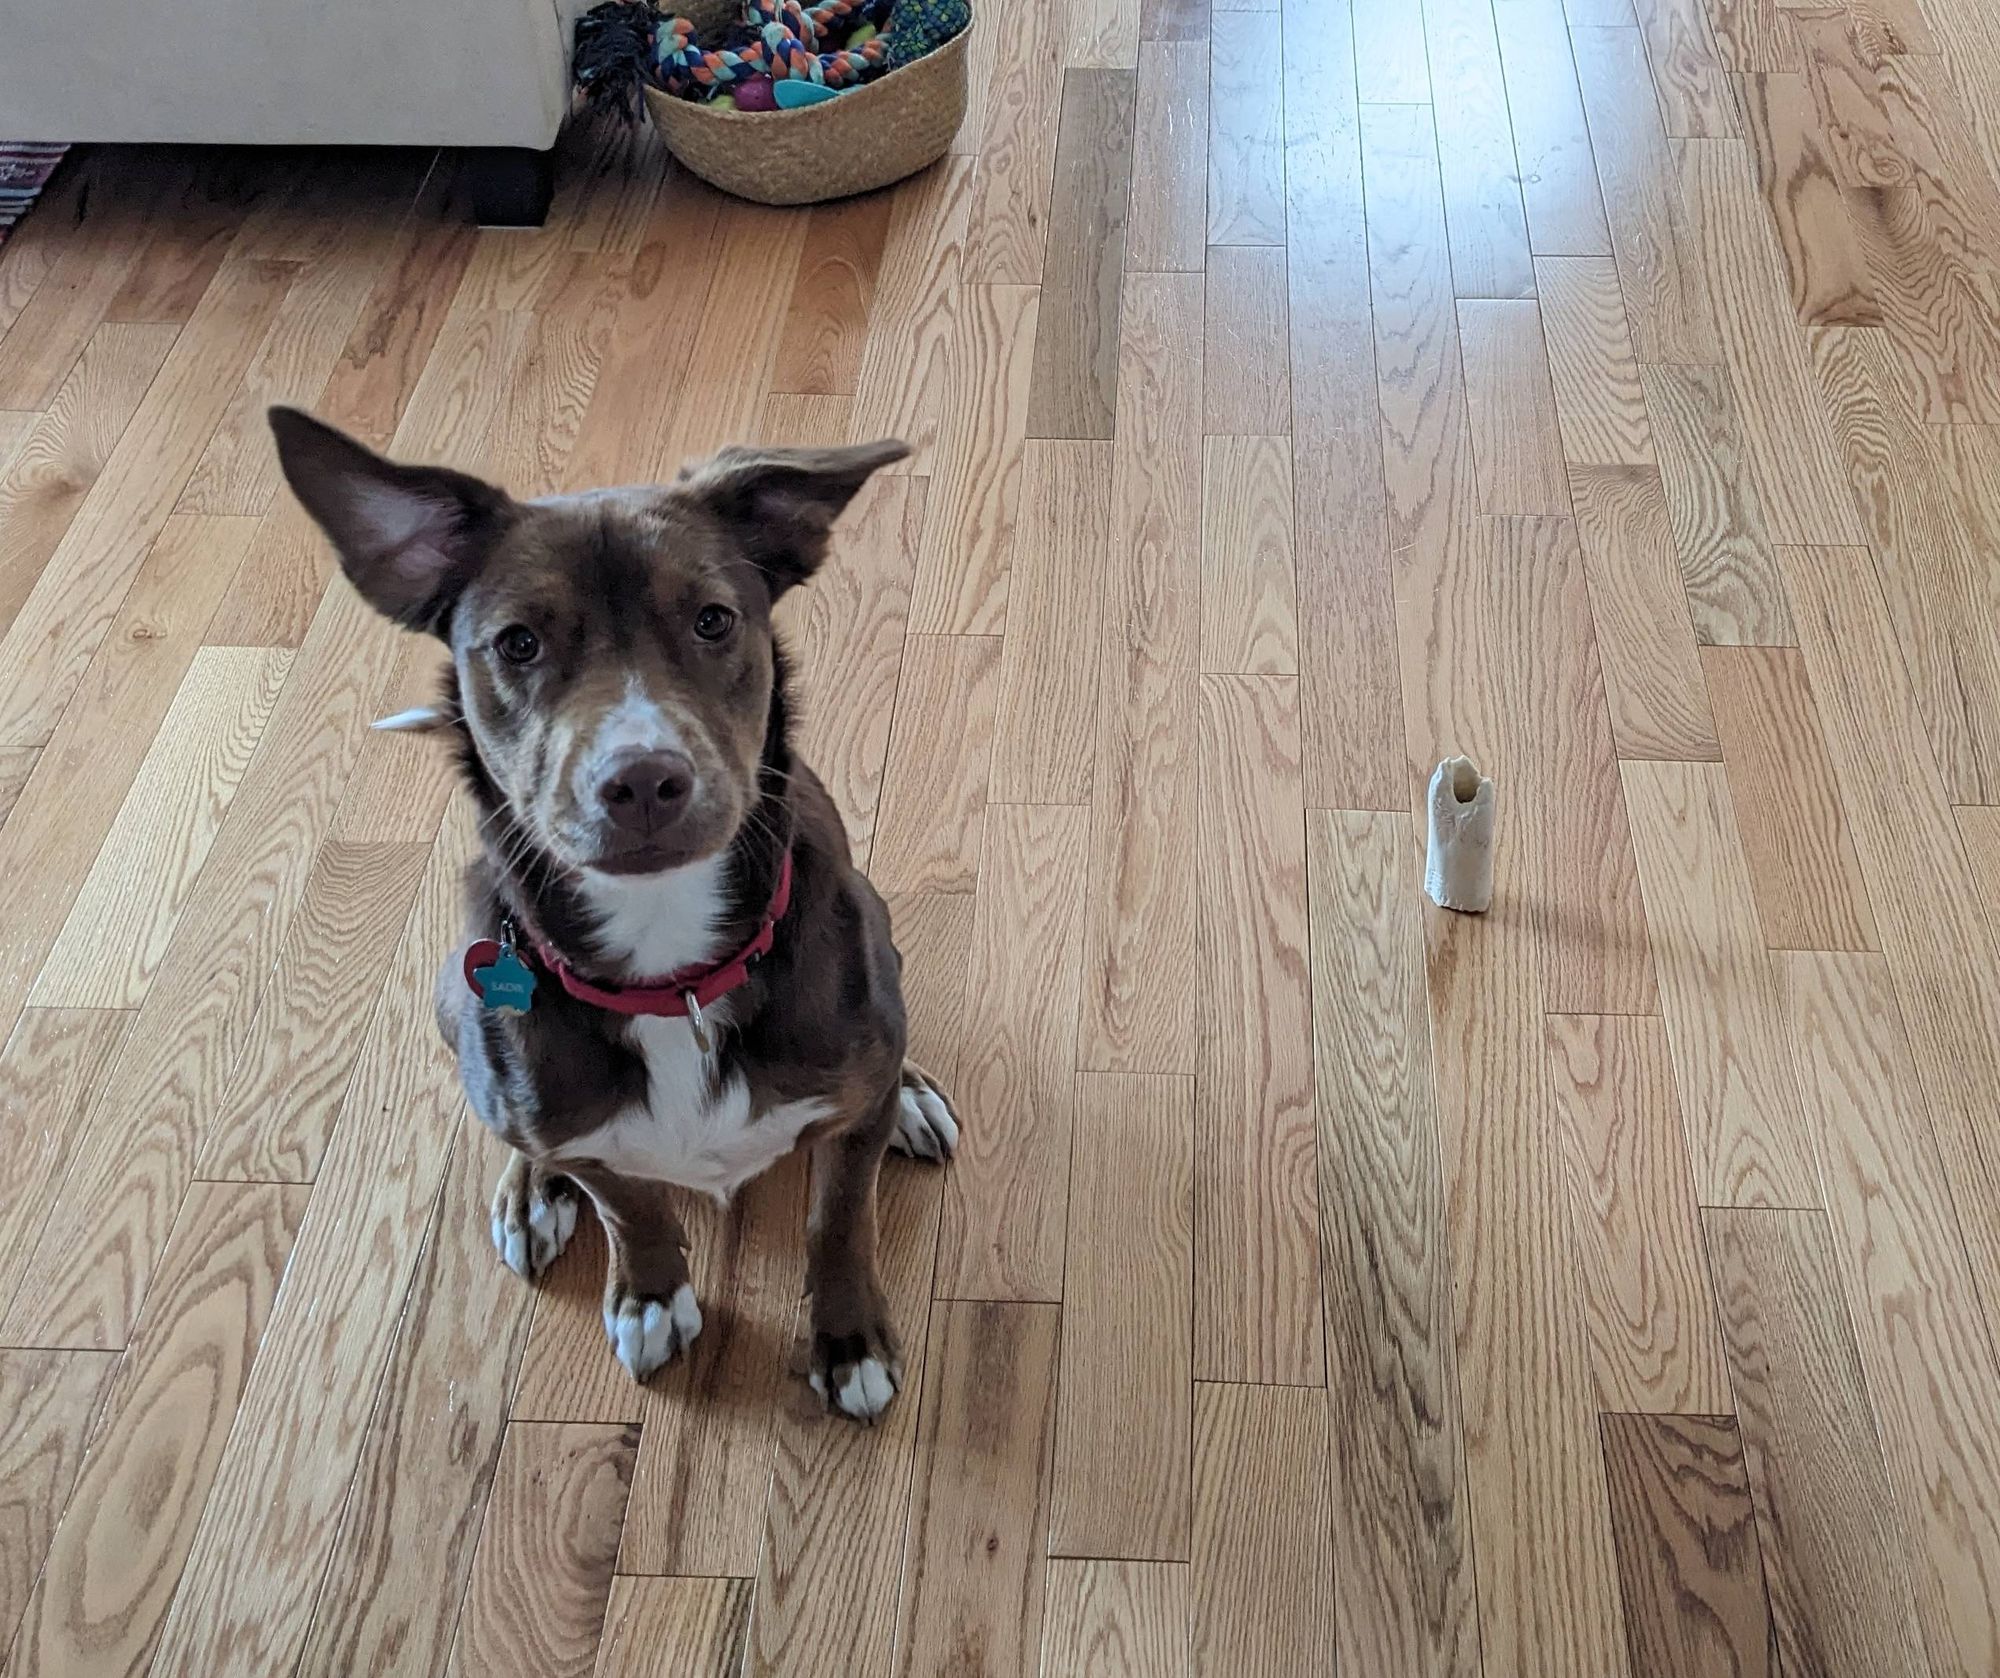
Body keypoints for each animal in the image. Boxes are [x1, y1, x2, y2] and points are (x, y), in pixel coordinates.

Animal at [270, 406, 956, 1416]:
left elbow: (839, 1219)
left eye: (713, 619)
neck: (672, 970)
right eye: (518, 643)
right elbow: (627, 1204)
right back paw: (532, 1191)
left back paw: (910, 1097)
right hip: (455, 997)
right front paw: (651, 1294)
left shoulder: (847, 1112)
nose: (641, 781)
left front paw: (848, 1342)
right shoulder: (583, 1135)